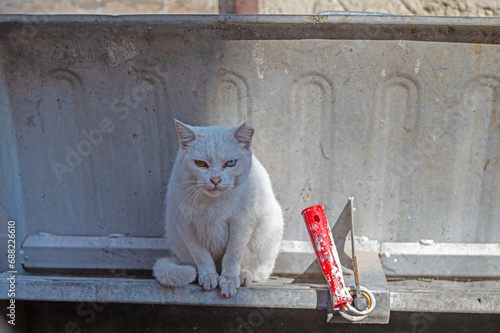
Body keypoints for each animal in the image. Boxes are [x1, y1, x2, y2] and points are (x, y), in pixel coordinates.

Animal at [152, 119, 284, 296]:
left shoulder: (241, 225)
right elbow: (201, 255)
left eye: (230, 163)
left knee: (255, 270)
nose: (215, 179)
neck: (213, 204)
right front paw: (208, 276)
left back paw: (243, 276)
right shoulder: (186, 226)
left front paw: (228, 280)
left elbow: (232, 255)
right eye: (200, 163)